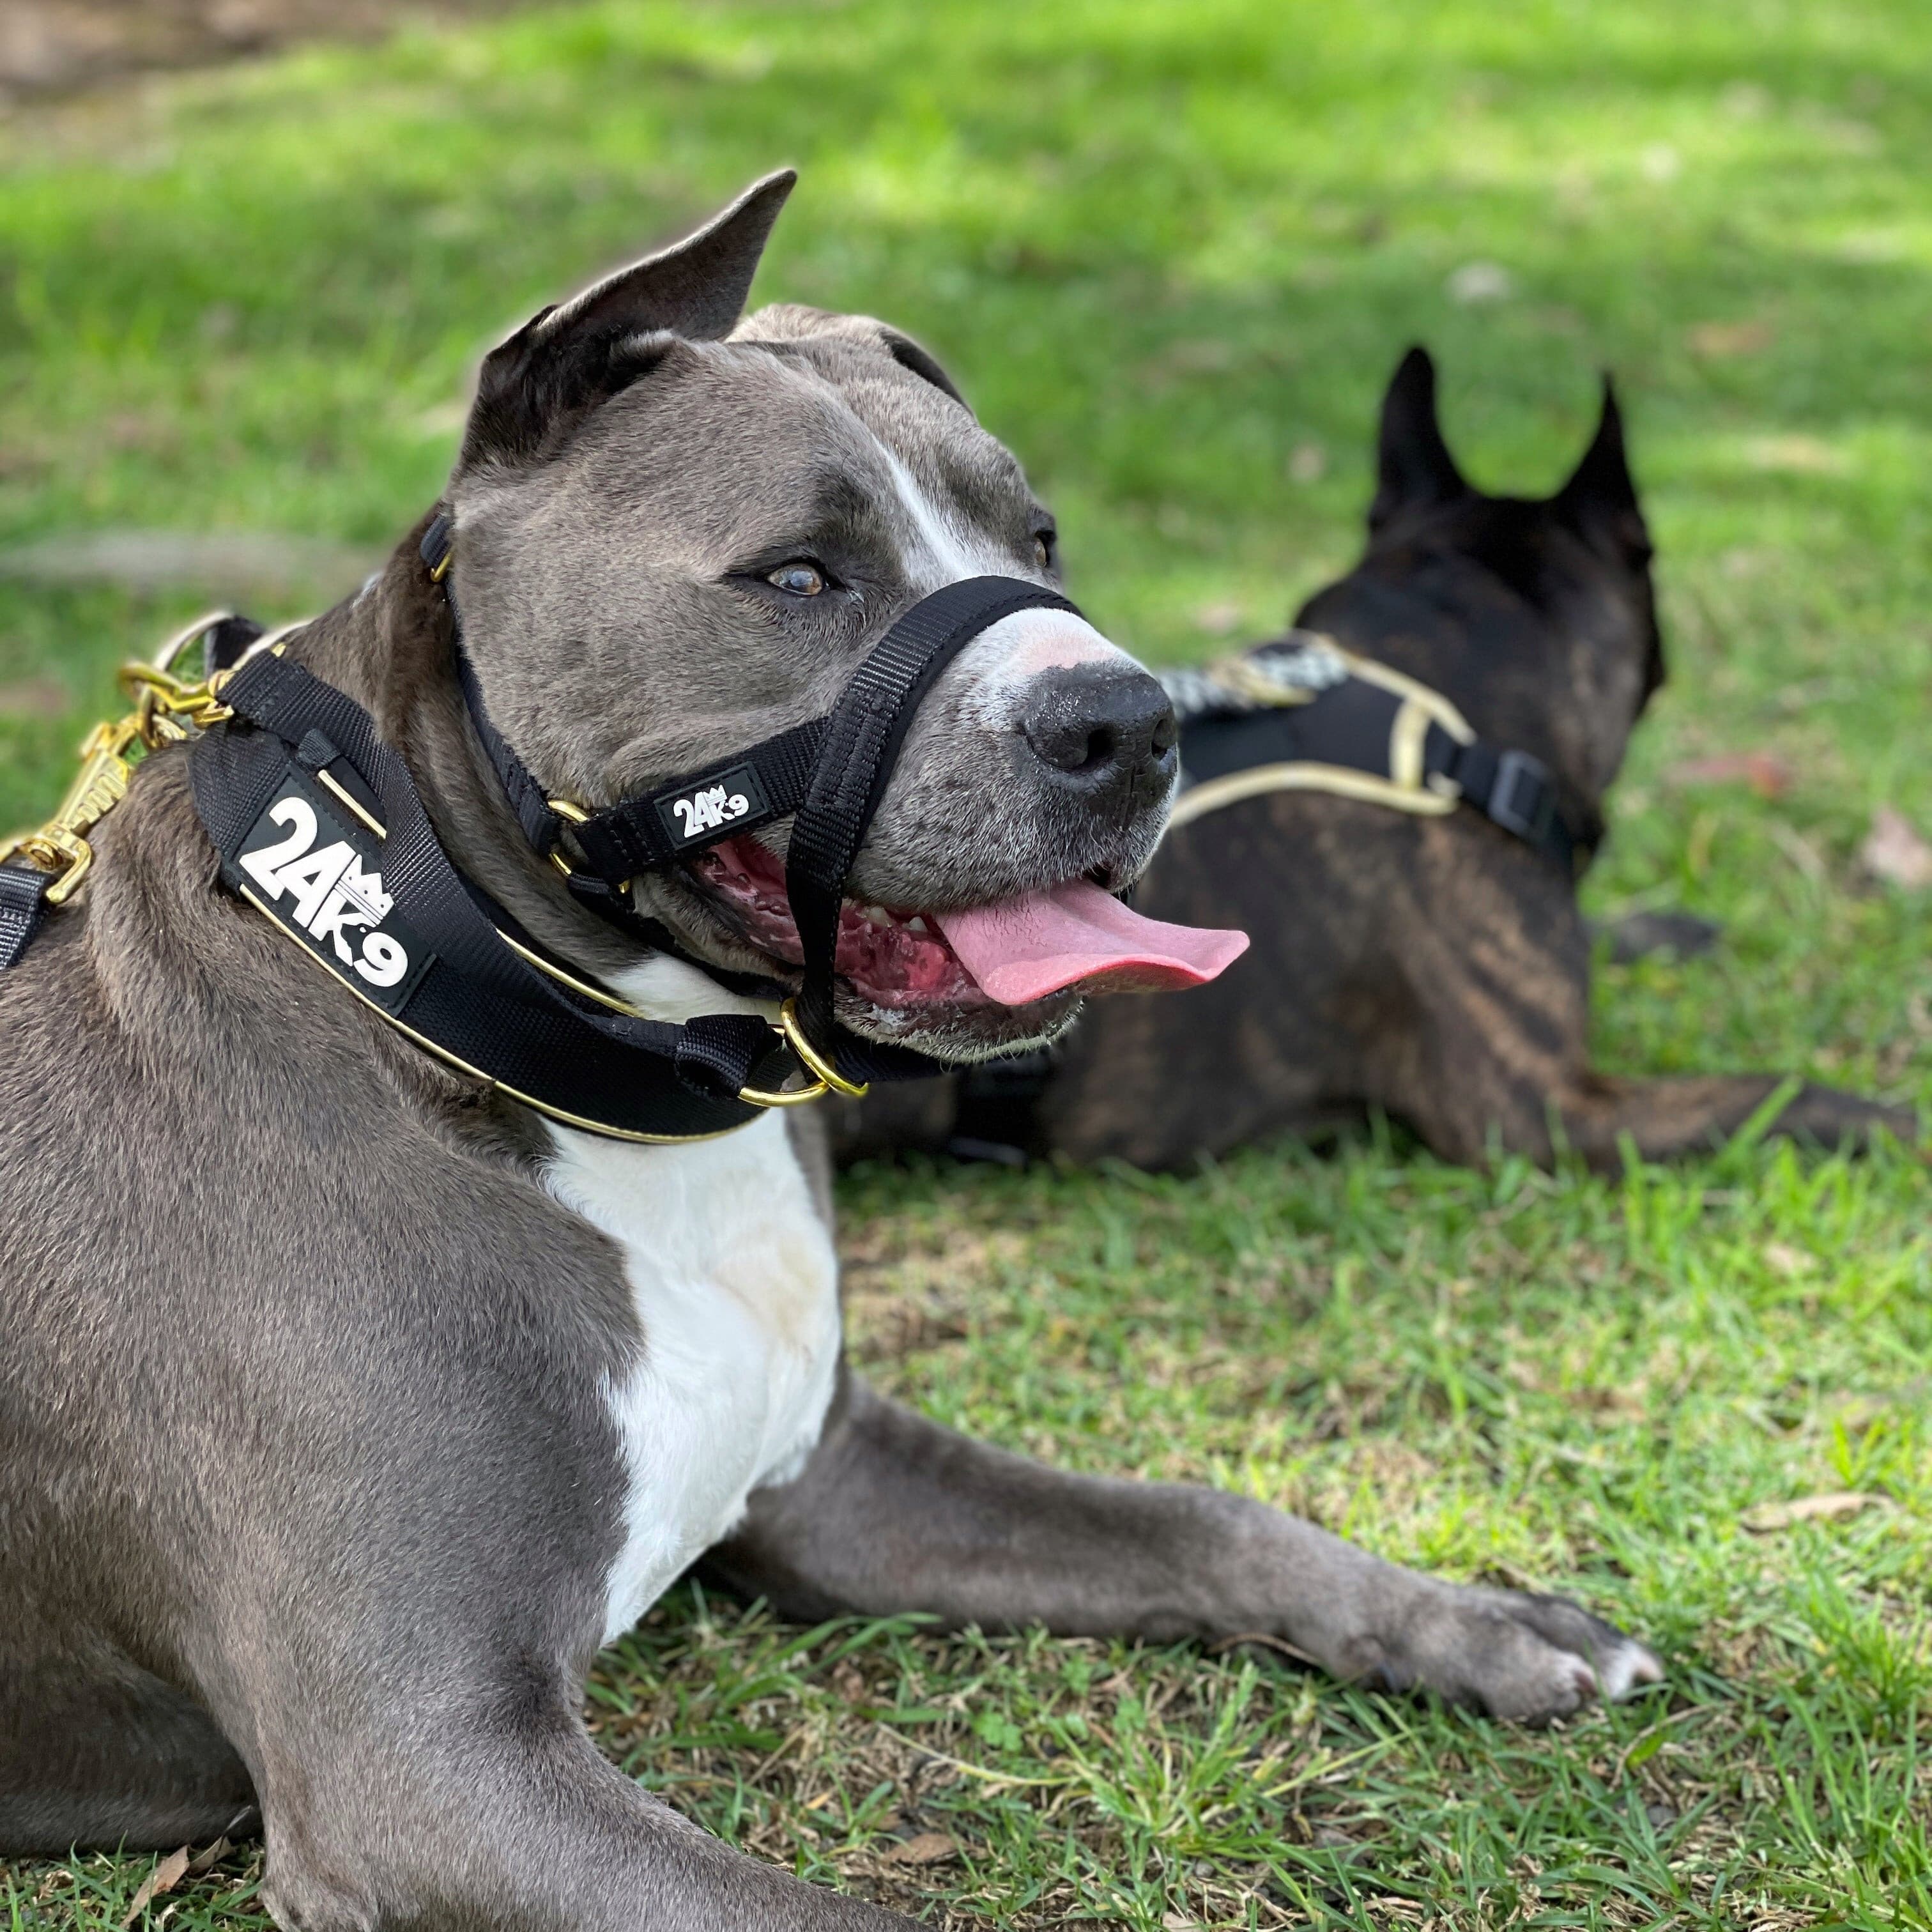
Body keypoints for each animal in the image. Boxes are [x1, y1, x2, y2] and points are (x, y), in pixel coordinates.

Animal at [0, 174, 1661, 1924]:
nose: (1137, 721)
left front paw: (1483, 1624)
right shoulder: (420, 1771)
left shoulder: (833, 1479)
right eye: (797, 578)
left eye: (1038, 538)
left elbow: (1206, 1516)